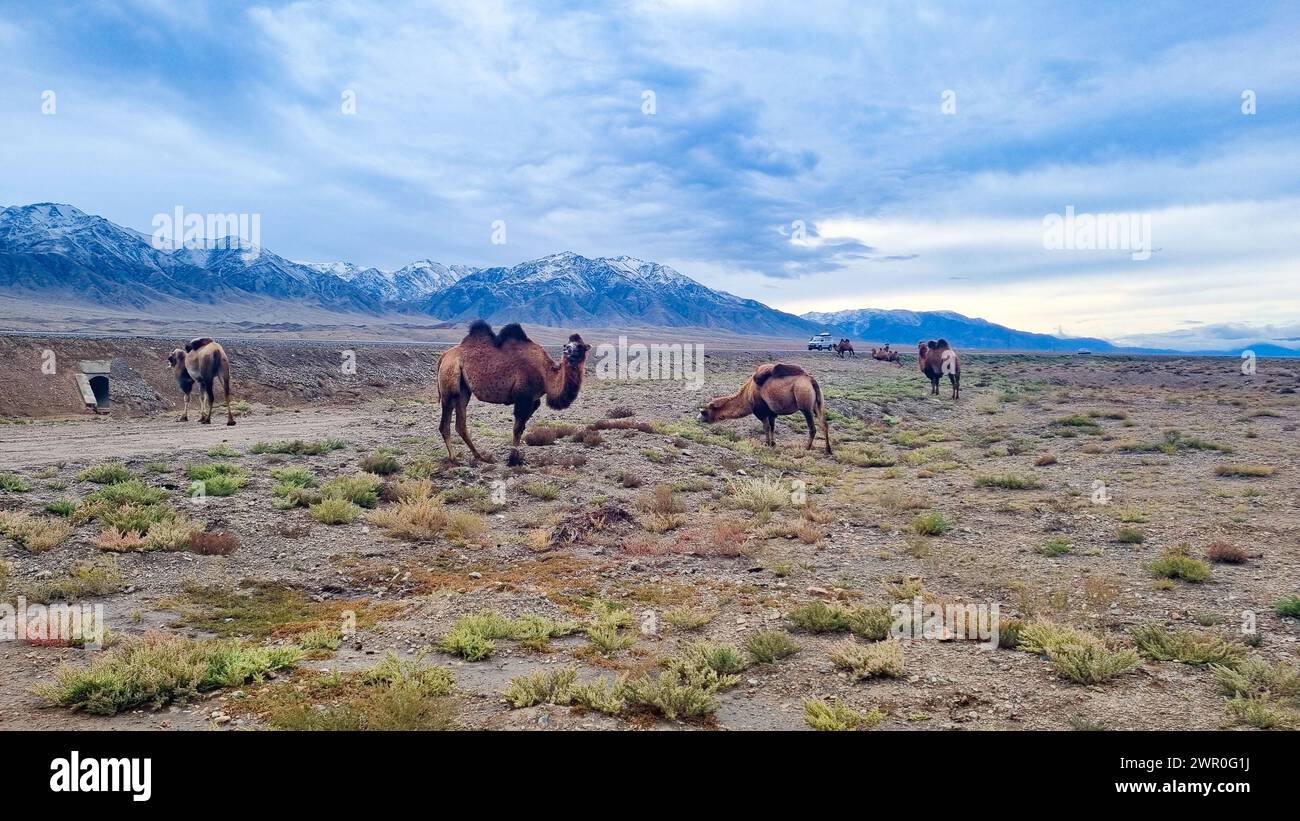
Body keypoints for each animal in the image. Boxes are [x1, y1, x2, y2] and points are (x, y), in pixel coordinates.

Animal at [441, 319, 595, 462]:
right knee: (445, 422)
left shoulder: (534, 401)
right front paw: (513, 459)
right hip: (449, 382)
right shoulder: (523, 397)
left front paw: (515, 456)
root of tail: (444, 355)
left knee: (460, 423)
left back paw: (479, 456)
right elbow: (516, 429)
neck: (546, 374)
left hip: (464, 389)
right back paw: (454, 458)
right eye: (567, 345)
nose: (567, 350)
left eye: (580, 346)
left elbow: (521, 428)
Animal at [702, 361, 832, 454]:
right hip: (818, 404)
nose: (699, 418)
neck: (748, 393)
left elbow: (766, 427)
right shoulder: (772, 412)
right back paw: (828, 450)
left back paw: (807, 447)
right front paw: (773, 443)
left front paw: (767, 443)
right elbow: (772, 427)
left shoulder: (761, 411)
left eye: (704, 411)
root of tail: (811, 380)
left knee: (812, 428)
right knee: (824, 424)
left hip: (805, 404)